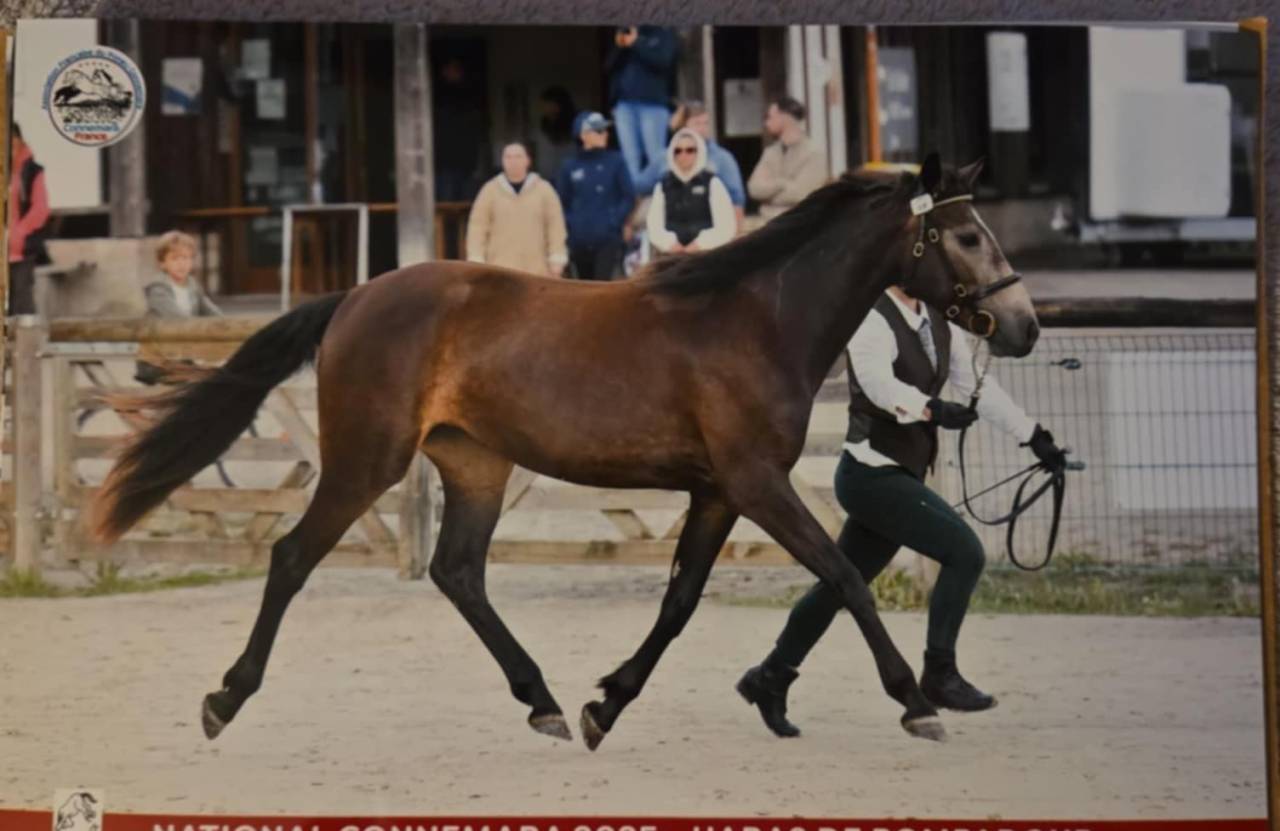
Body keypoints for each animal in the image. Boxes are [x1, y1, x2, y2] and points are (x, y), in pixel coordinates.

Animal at [87, 154, 1038, 750]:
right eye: (965, 238)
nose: (1024, 324)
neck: (755, 318)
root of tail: (355, 296)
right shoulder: (757, 481)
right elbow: (842, 577)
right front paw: (915, 701)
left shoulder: (716, 491)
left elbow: (681, 601)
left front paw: (603, 705)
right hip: (368, 460)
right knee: (291, 556)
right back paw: (224, 698)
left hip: (475, 462)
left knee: (458, 572)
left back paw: (542, 702)